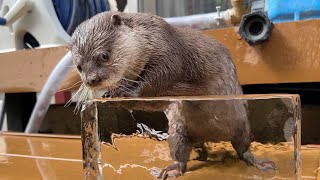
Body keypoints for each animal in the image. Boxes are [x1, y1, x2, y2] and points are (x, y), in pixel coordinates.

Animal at [69, 11, 276, 179]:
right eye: (79, 66)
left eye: (104, 56)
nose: (92, 80)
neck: (146, 39)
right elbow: (150, 103)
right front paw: (109, 95)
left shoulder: (168, 51)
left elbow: (160, 77)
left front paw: (124, 91)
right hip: (177, 131)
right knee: (181, 153)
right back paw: (178, 166)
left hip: (241, 124)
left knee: (243, 148)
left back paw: (260, 163)